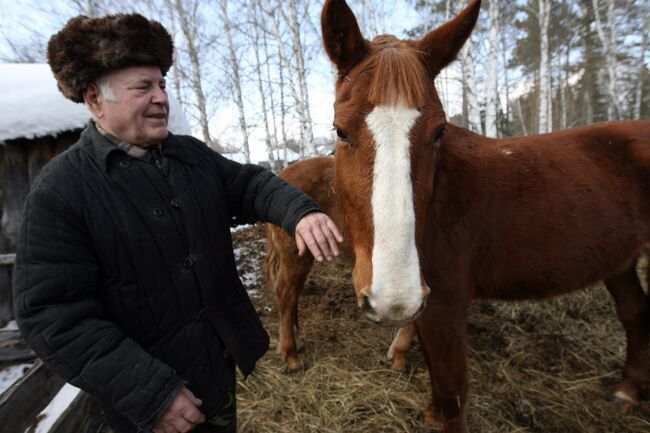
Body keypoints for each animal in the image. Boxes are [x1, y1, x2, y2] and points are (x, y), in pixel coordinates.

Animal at [322, 0, 648, 430]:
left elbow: (452, 391)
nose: (394, 299)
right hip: (620, 261)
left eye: (439, 131)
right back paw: (628, 391)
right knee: (635, 313)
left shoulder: (444, 308)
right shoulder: (428, 311)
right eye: (340, 132)